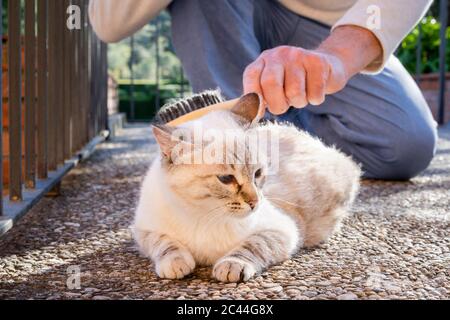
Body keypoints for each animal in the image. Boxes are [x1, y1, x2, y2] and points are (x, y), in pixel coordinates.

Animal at [132, 91, 360, 282]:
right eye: (226, 178)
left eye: (257, 174)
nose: (254, 202)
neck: (202, 213)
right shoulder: (143, 230)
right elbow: (164, 243)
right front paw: (175, 263)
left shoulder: (282, 229)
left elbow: (253, 245)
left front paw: (232, 265)